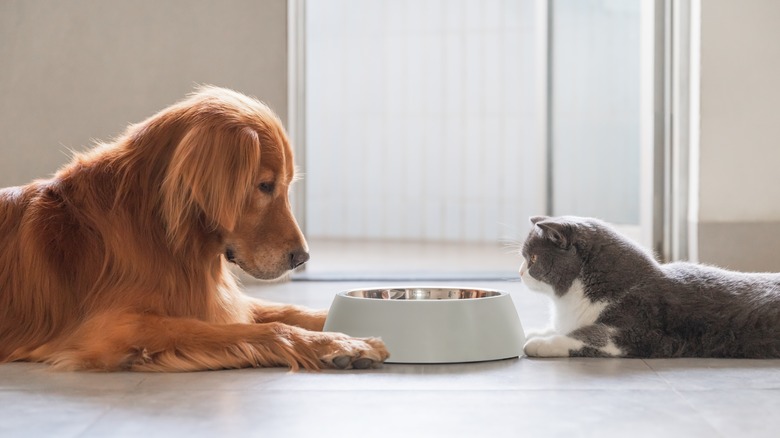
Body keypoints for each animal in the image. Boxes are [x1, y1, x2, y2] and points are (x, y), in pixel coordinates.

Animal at [0, 86, 388, 372]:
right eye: (265, 186)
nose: (302, 257)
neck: (159, 231)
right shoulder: (115, 327)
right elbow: (264, 328)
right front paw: (340, 342)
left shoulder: (215, 299)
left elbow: (288, 311)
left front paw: (340, 325)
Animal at [516, 215, 780, 356]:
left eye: (533, 258)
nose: (519, 272)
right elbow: (560, 328)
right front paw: (532, 331)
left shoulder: (636, 331)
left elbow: (585, 335)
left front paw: (538, 343)